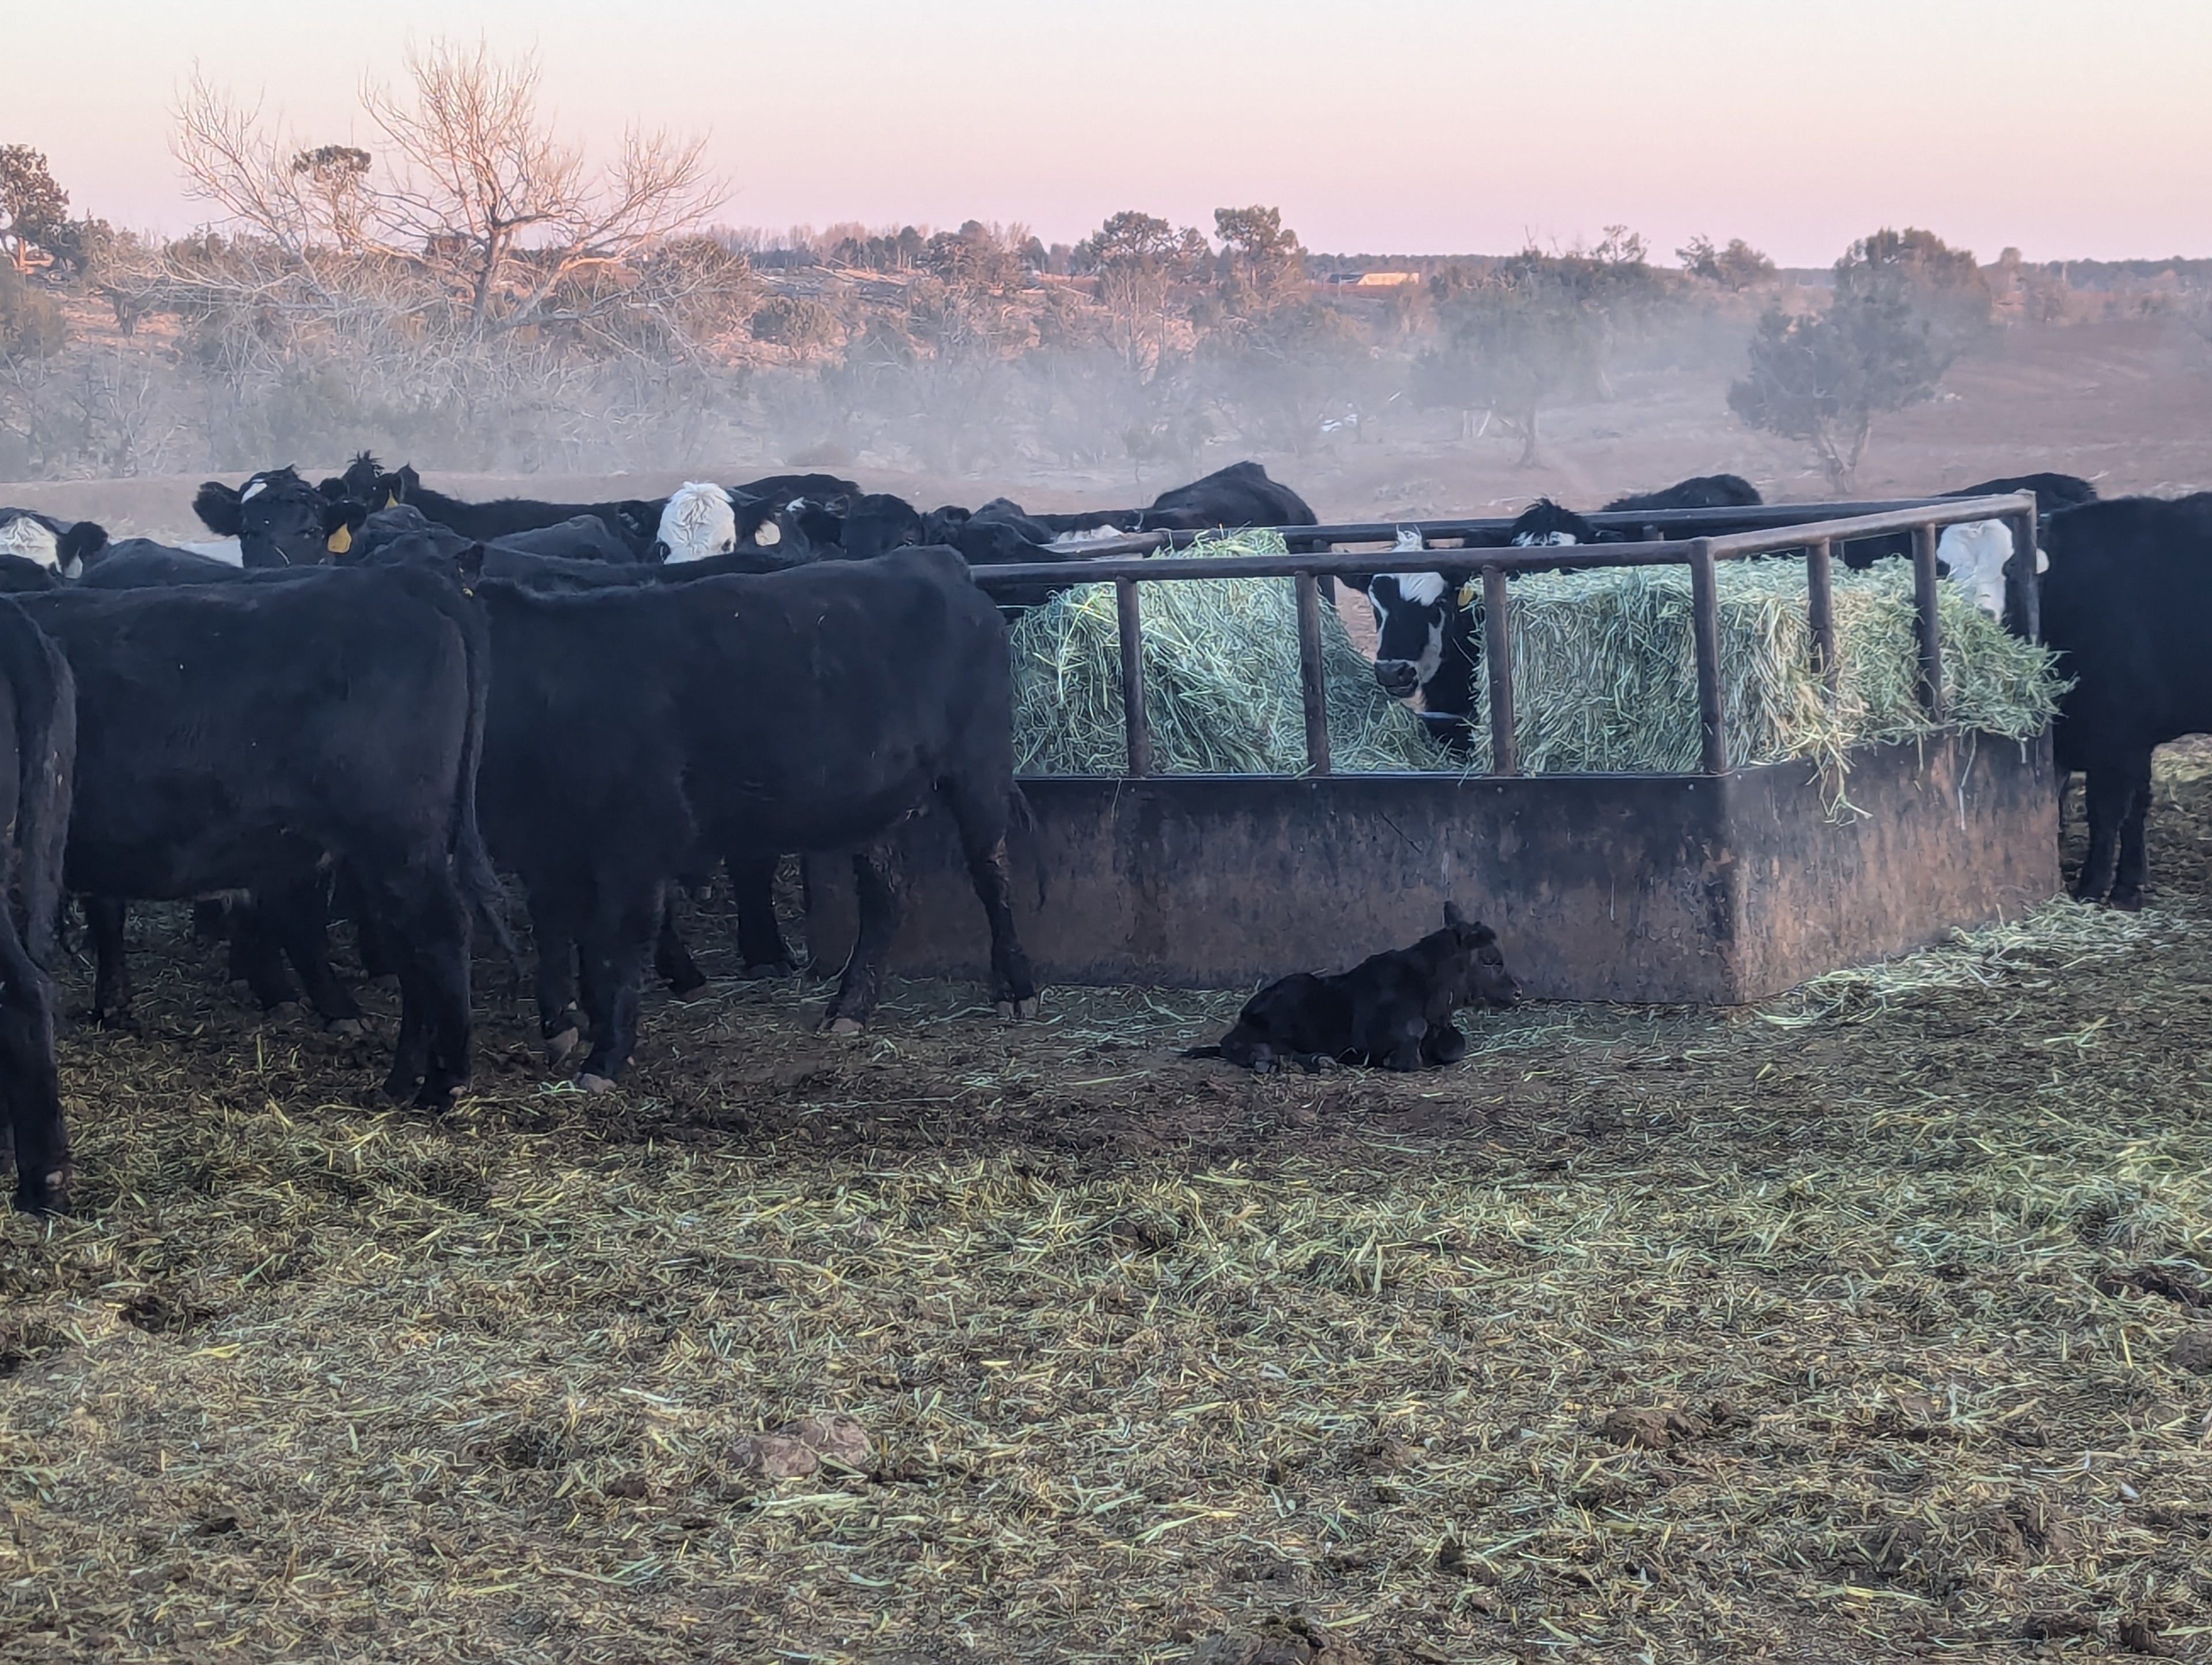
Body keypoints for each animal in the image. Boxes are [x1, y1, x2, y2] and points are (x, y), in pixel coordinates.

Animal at [19, 566, 496, 1103]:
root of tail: (397, 580)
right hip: (381, 855)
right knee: (412, 952)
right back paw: (400, 1082)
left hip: (397, 842)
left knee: (440, 934)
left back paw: (442, 1083)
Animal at [474, 546, 1039, 1086]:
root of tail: (935, 559)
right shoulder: (547, 849)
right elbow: (555, 928)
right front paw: (564, 1025)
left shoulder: (638, 843)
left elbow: (616, 943)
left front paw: (605, 1056)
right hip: (875, 804)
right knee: (886, 896)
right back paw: (849, 1007)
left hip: (980, 767)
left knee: (992, 873)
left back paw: (1015, 987)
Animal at [1183, 905, 1520, 1073]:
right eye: (1490, 960)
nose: (1517, 992)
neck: (1430, 994)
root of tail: (1247, 1011)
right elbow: (1411, 1038)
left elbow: (1455, 1045)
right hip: (1291, 994)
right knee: (1235, 1043)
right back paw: (1275, 1059)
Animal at [2040, 494, 2212, 909]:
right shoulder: (2133, 741)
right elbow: (2136, 808)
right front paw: (2130, 886)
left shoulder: (2113, 734)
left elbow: (2106, 814)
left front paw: (2092, 887)